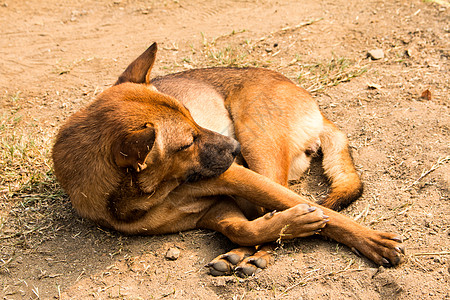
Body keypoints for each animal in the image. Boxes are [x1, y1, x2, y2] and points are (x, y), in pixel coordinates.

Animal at [52, 42, 404, 276]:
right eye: (188, 143)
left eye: (193, 118)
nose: (233, 148)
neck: (153, 194)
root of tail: (315, 108)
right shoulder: (213, 210)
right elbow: (241, 229)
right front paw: (278, 230)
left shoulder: (235, 176)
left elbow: (316, 211)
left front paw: (372, 241)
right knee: (265, 213)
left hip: (258, 149)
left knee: (286, 200)